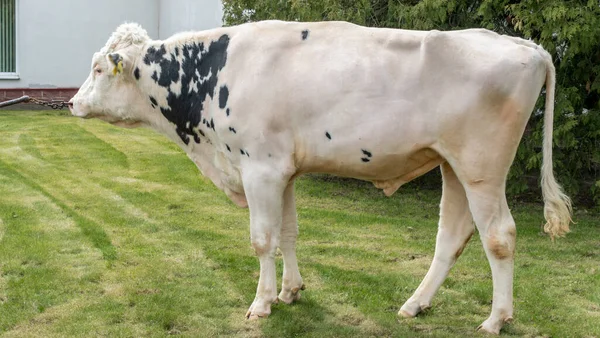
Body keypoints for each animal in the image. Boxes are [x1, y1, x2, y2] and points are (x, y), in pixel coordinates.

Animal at [69, 19, 572, 334]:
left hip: (482, 169)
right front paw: (290, 292)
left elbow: (262, 239)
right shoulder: (284, 170)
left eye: (98, 68)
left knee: (499, 236)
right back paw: (415, 304)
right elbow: (289, 233)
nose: (72, 102)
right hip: (452, 166)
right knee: (452, 237)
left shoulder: (260, 168)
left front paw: (261, 304)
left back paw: (496, 319)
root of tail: (524, 45)